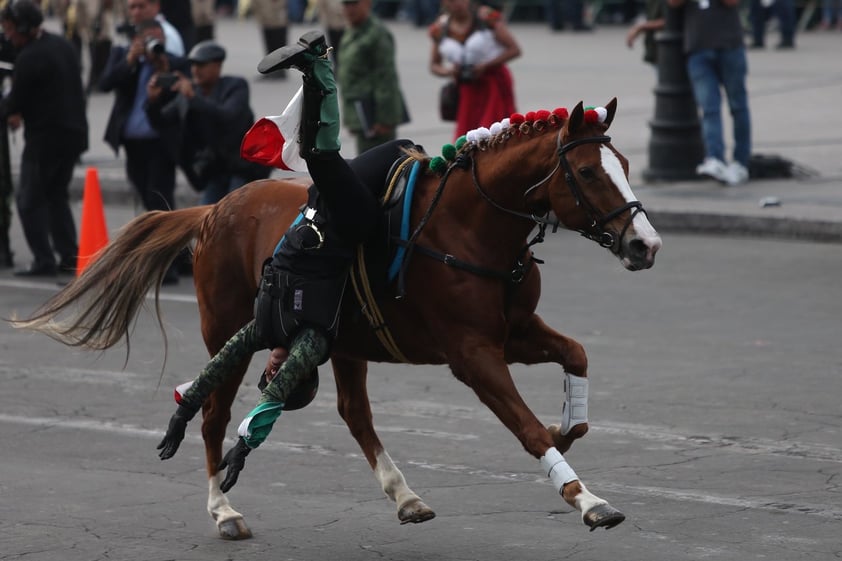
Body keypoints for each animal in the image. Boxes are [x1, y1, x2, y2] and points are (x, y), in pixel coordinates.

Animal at [9, 99, 660, 540]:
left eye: (627, 163)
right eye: (591, 172)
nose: (645, 245)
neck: (467, 226)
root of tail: (215, 206)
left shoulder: (515, 333)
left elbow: (576, 356)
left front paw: (568, 425)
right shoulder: (473, 354)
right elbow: (525, 429)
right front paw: (586, 498)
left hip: (342, 342)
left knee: (353, 414)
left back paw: (403, 495)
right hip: (231, 332)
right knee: (213, 415)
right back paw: (223, 507)